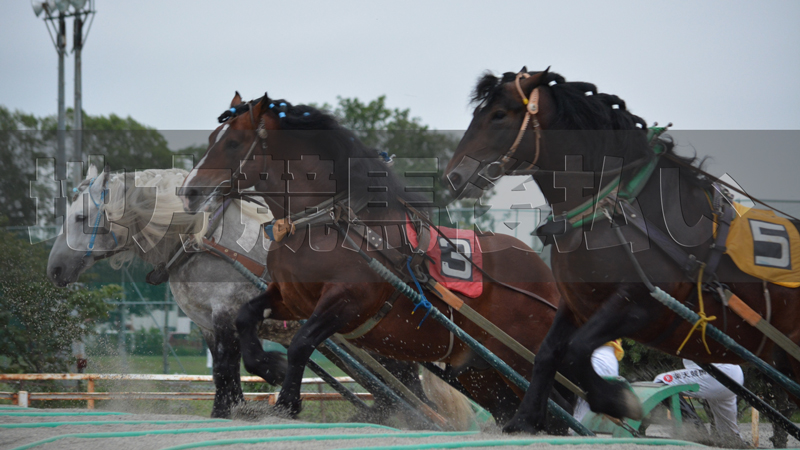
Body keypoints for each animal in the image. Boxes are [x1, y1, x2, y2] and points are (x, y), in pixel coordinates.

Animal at [180, 92, 568, 426]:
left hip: (520, 364)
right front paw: (266, 365)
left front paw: (288, 402)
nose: (190, 191)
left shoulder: (348, 300)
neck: (327, 223)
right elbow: (246, 317)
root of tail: (548, 282)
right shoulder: (290, 297)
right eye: (213, 137)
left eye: (232, 142)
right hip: (482, 373)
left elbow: (302, 342)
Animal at [444, 67, 800, 432]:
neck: (617, 208)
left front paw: (616, 399)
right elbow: (548, 353)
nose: (453, 175)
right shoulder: (577, 303)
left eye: (499, 114)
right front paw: (526, 418)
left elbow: (576, 351)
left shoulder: (642, 305)